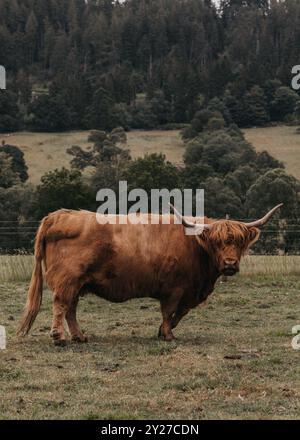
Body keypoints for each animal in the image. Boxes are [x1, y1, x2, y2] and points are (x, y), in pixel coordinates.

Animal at [17, 205, 282, 346]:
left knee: (70, 308)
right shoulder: (174, 289)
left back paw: (79, 336)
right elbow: (169, 312)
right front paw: (167, 335)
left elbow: (179, 313)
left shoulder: (187, 292)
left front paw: (164, 331)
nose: (229, 264)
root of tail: (59, 214)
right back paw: (59, 337)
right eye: (217, 242)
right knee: (60, 304)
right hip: (68, 279)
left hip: (79, 283)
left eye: (239, 242)